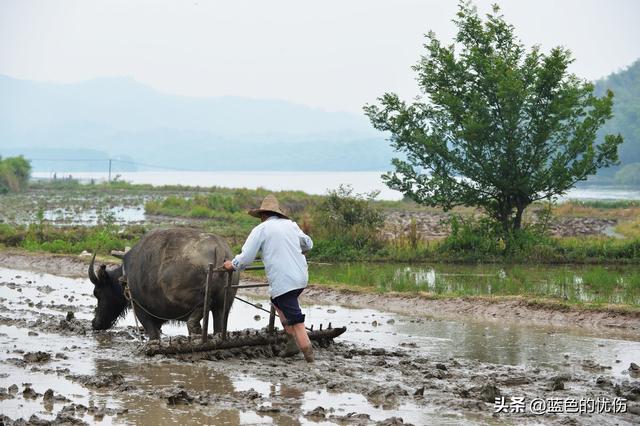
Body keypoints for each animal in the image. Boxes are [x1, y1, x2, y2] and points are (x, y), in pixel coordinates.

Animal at [89, 228, 239, 342]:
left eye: (97, 292)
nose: (95, 323)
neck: (126, 276)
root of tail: (220, 250)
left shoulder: (141, 309)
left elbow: (153, 334)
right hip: (223, 305)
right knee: (219, 324)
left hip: (188, 296)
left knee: (202, 306)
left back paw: (194, 327)